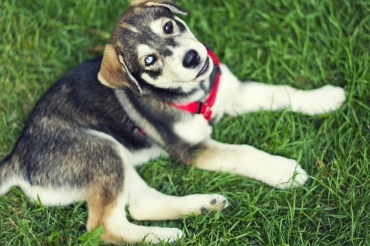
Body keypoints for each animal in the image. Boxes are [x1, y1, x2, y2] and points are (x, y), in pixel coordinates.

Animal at [1, 0, 346, 244]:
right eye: (149, 60)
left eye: (168, 25)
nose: (193, 58)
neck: (194, 91)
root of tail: (17, 157)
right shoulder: (190, 148)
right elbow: (244, 152)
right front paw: (284, 172)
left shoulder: (232, 92)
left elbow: (278, 92)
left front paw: (324, 98)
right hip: (99, 150)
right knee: (104, 227)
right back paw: (167, 236)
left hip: (114, 158)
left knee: (140, 205)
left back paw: (203, 207)